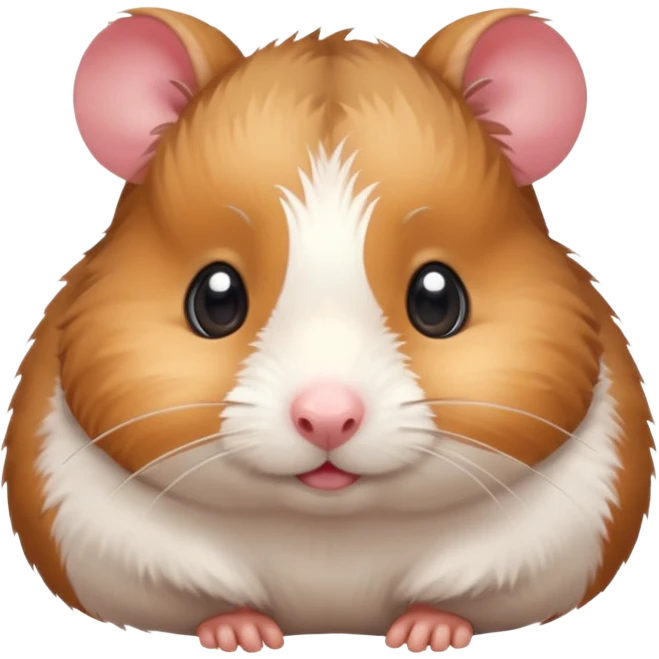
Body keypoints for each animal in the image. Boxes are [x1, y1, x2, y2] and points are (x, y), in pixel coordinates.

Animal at [2, 6, 655, 655]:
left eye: (438, 298)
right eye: (216, 298)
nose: (326, 418)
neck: (330, 537)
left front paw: (426, 636)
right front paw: (242, 636)